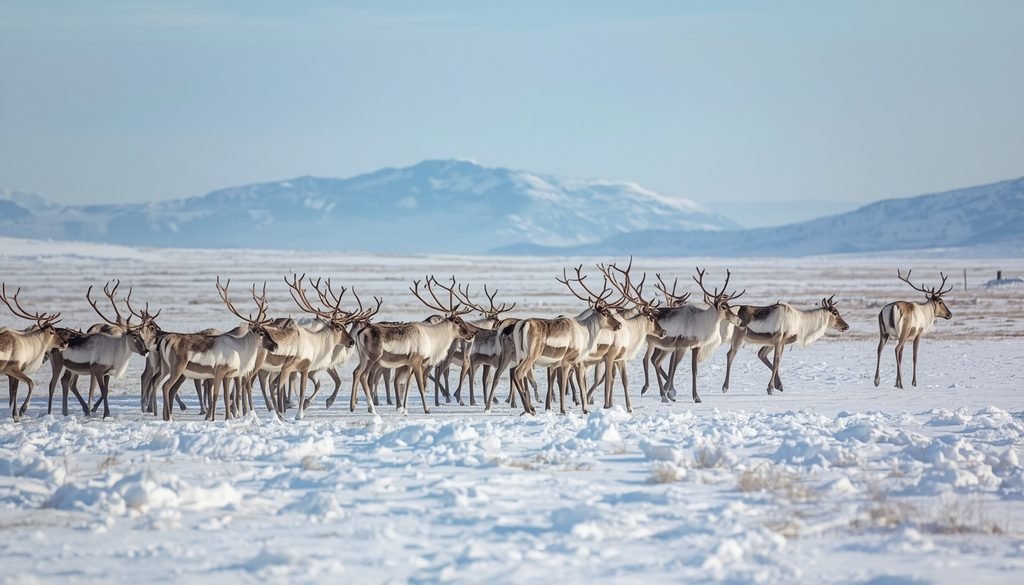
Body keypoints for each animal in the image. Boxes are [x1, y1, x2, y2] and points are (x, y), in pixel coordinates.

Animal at [0, 283, 67, 421]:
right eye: (52, 332)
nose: (65, 342)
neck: (28, 345)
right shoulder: (13, 368)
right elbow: (29, 384)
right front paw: (21, 411)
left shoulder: (12, 372)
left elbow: (14, 392)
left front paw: (15, 414)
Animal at [350, 276, 476, 415]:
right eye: (457, 321)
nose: (472, 333)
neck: (431, 337)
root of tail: (361, 331)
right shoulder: (417, 362)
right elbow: (421, 386)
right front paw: (427, 409)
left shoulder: (409, 365)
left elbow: (408, 386)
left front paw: (405, 408)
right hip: (373, 357)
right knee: (364, 376)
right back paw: (371, 408)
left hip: (363, 357)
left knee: (356, 372)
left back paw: (353, 406)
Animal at [511, 266, 625, 415]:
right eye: (606, 313)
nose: (619, 325)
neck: (586, 331)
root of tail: (524, 324)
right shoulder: (567, 361)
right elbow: (565, 383)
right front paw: (565, 409)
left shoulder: (575, 362)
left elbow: (580, 384)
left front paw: (585, 409)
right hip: (531, 356)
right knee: (518, 373)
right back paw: (529, 409)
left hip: (520, 355)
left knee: (514, 372)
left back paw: (529, 408)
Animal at [643, 268, 744, 404]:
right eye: (723, 307)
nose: (739, 320)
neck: (704, 322)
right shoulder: (682, 346)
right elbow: (674, 366)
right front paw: (672, 393)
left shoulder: (696, 346)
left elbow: (694, 370)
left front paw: (694, 397)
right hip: (656, 344)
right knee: (652, 361)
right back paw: (660, 393)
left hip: (662, 347)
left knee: (655, 361)